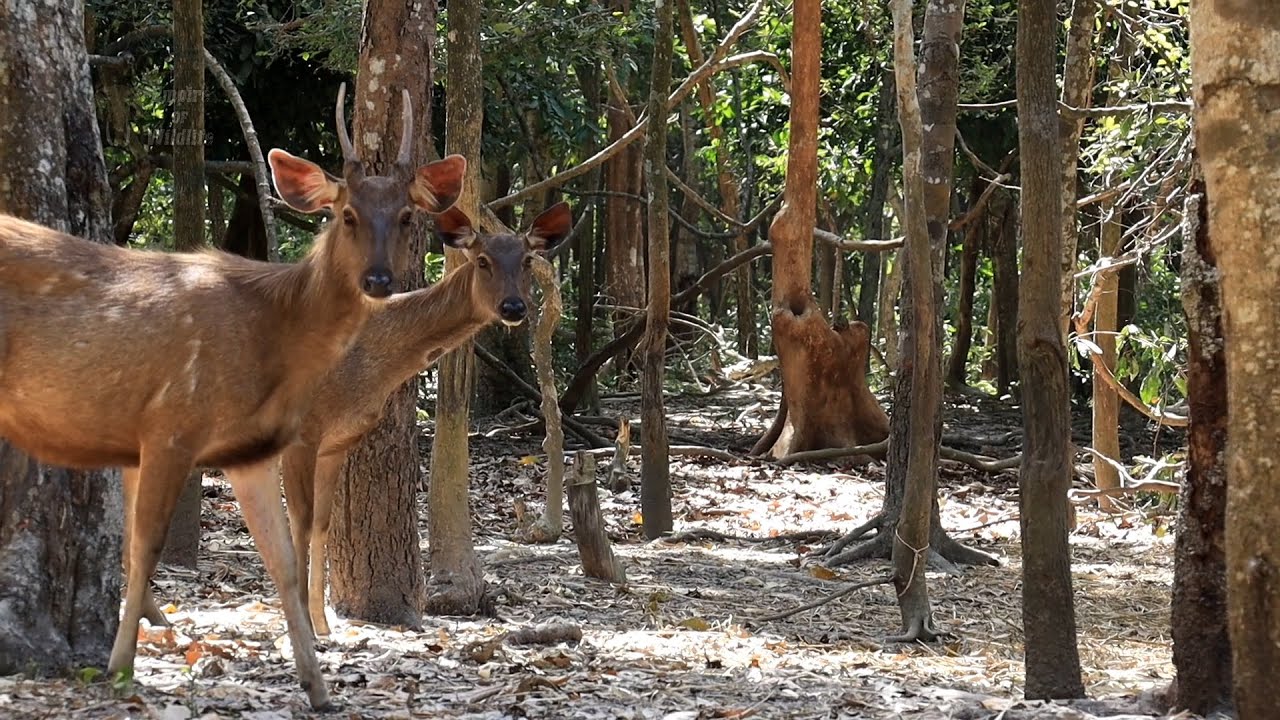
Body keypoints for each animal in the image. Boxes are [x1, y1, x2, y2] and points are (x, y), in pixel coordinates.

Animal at [0, 84, 465, 710]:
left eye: (406, 215)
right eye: (346, 215)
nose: (378, 280)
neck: (271, 330)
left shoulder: (250, 450)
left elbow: (283, 560)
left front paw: (318, 687)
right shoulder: (170, 423)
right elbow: (144, 548)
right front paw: (121, 668)